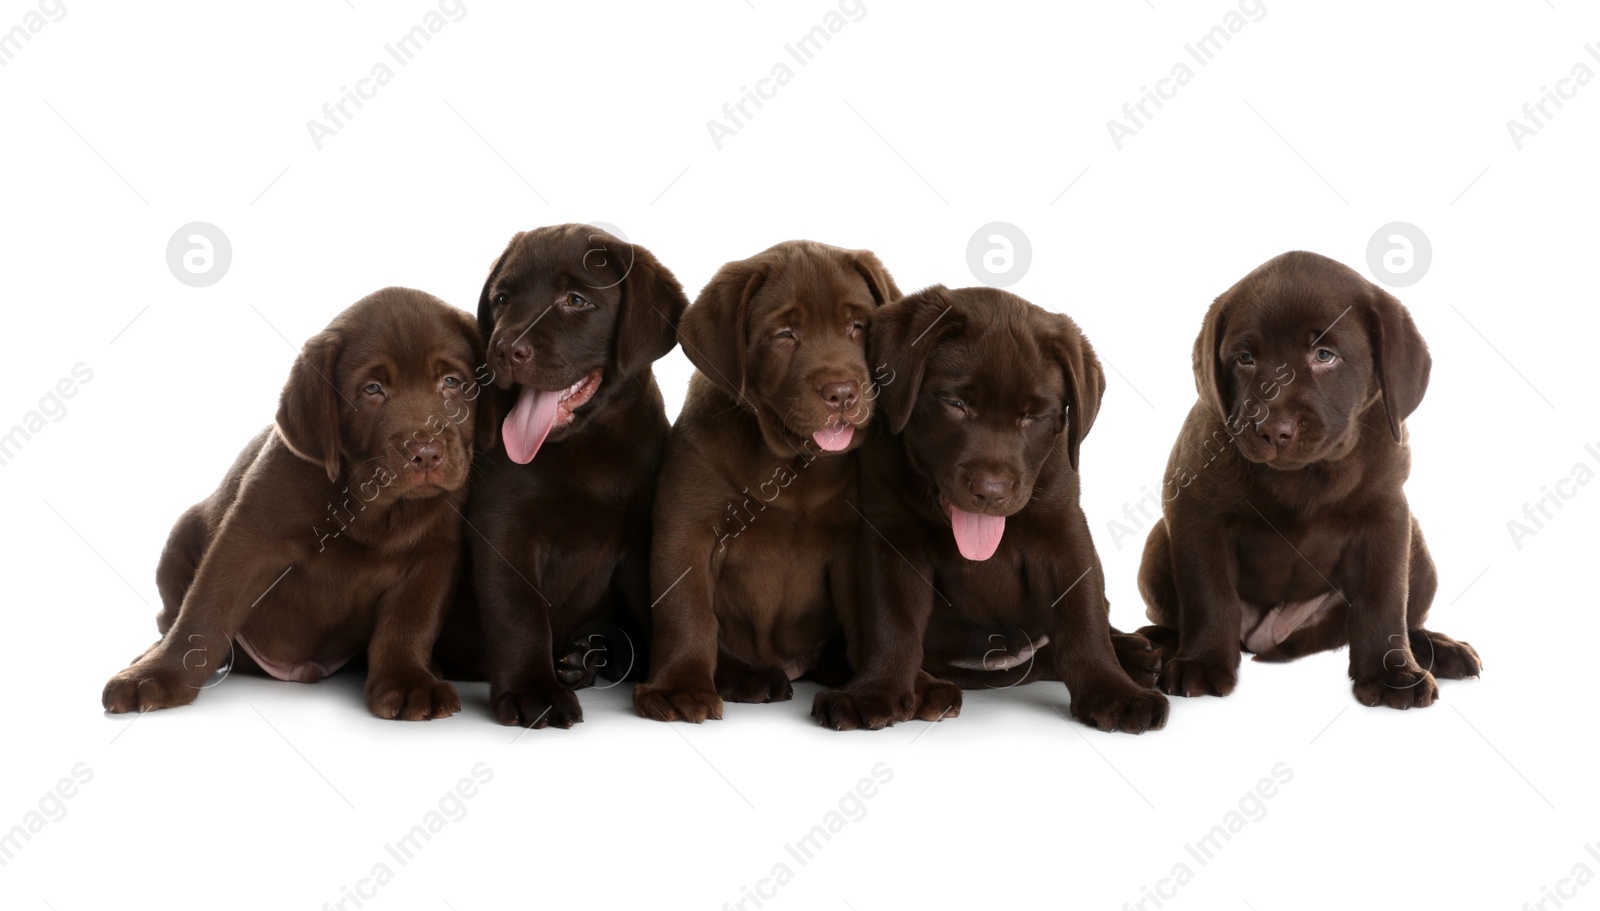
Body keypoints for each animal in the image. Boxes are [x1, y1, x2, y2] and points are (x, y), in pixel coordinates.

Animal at [103, 286, 489, 717]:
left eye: (451, 381)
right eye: (372, 389)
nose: (425, 452)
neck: (373, 505)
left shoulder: (435, 554)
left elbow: (410, 623)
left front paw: (409, 681)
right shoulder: (248, 536)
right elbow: (204, 610)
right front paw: (158, 675)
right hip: (180, 536)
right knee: (171, 614)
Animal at [630, 241, 902, 723]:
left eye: (857, 327)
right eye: (784, 334)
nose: (843, 393)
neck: (791, 465)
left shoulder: (851, 538)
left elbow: (867, 615)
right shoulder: (686, 527)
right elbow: (687, 611)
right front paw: (680, 687)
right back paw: (750, 677)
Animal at [812, 284, 1164, 733]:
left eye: (1032, 416)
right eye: (956, 403)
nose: (991, 491)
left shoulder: (1063, 531)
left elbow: (1082, 619)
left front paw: (1113, 691)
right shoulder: (891, 536)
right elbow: (890, 619)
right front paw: (875, 691)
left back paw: (1135, 654)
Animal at [1145, 252, 1478, 707]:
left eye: (1324, 355)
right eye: (1245, 358)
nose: (1273, 430)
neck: (1308, 474)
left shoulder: (1387, 513)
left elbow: (1384, 598)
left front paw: (1391, 673)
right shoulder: (1194, 509)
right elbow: (1209, 594)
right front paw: (1201, 662)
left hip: (1419, 551)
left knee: (1407, 618)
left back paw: (1438, 649)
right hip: (1159, 543)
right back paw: (1152, 646)